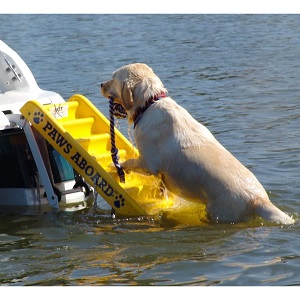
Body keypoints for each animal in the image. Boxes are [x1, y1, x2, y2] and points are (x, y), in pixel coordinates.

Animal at [101, 63, 296, 225]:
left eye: (113, 78)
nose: (101, 84)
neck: (150, 103)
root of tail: (258, 200)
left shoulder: (149, 163)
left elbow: (131, 162)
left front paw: (116, 165)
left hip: (220, 212)